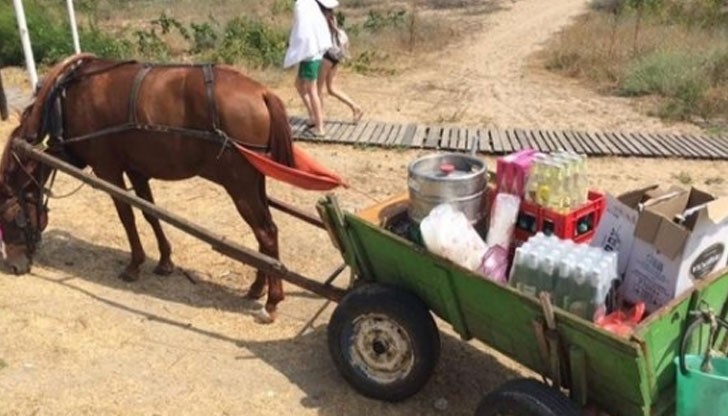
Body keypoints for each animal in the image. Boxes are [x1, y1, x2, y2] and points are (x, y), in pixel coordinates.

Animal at [0, 53, 298, 322]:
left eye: (10, 219)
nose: (13, 266)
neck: (66, 98)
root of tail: (262, 93)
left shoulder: (108, 169)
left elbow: (126, 216)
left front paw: (134, 264)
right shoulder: (136, 169)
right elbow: (149, 213)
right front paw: (165, 261)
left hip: (240, 186)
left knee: (266, 233)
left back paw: (271, 302)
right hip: (255, 184)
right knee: (265, 232)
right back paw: (258, 287)